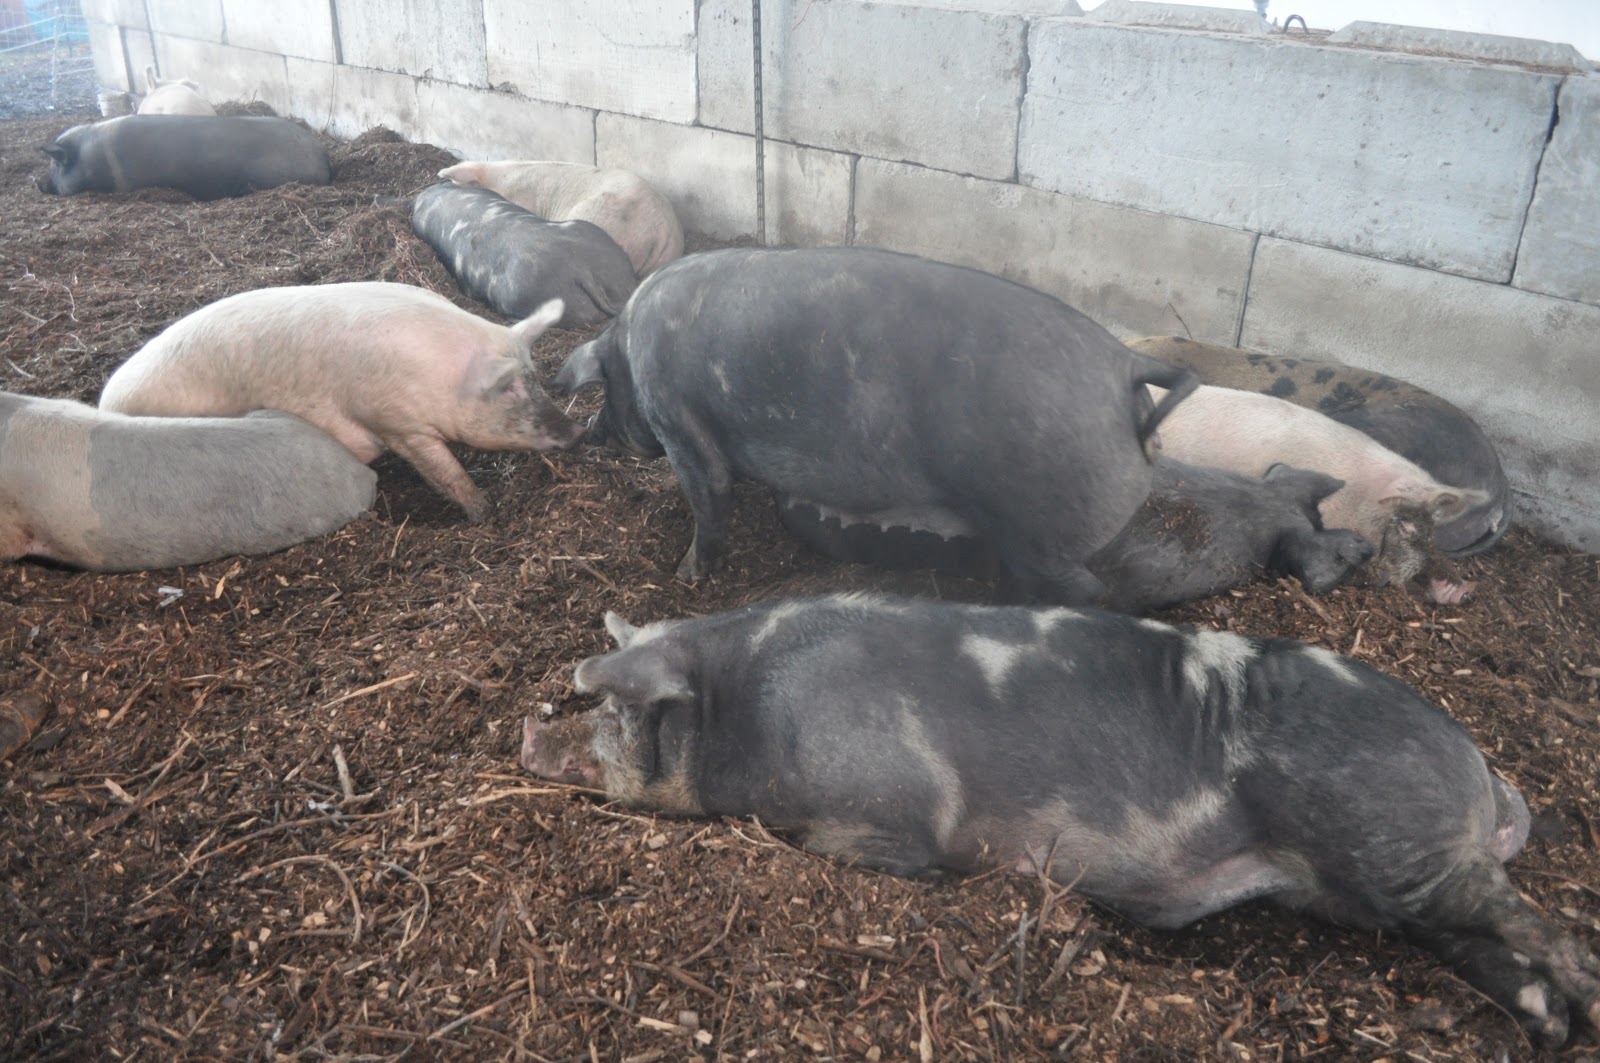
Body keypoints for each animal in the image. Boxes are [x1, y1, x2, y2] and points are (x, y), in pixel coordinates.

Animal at [98, 282, 581, 521]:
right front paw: (485, 513)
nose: (577, 430)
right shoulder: (396, 422)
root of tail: (107, 401)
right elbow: (443, 471)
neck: (441, 377)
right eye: (509, 389)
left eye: (535, 377)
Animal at [523, 595, 1600, 1049]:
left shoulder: (882, 818)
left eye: (612, 708)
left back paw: (1580, 999)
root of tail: (1483, 774)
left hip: (1394, 838)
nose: (531, 728)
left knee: (1523, 919)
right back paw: (1547, 1023)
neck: (748, 704)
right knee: (1478, 941)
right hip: (1384, 886)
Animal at [551, 247, 1199, 605]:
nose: (590, 430)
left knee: (1087, 591)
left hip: (1046, 524)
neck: (629, 345)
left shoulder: (681, 424)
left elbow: (709, 498)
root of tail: (1124, 365)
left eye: (605, 389)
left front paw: (686, 576)